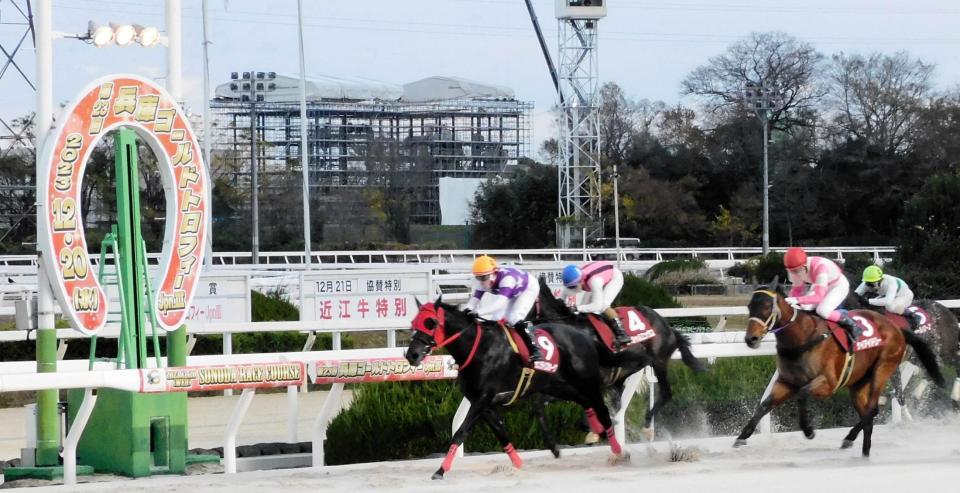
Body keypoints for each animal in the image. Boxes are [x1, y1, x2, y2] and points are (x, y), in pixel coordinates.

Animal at [402, 298, 648, 478]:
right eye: (414, 321)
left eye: (431, 322)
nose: (412, 354)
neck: (479, 349)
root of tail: (585, 337)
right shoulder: (482, 402)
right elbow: (501, 433)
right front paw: (518, 464)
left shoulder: (482, 399)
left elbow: (460, 433)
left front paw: (440, 470)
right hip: (560, 385)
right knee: (586, 403)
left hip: (585, 381)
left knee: (603, 410)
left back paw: (618, 451)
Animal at [736, 278, 944, 456]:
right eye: (749, 306)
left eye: (765, 307)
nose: (750, 339)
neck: (803, 337)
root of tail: (897, 329)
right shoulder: (786, 383)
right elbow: (764, 405)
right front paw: (742, 436)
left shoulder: (828, 383)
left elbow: (802, 393)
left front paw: (808, 430)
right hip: (859, 383)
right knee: (868, 413)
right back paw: (862, 450)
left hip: (883, 369)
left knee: (872, 409)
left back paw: (851, 439)